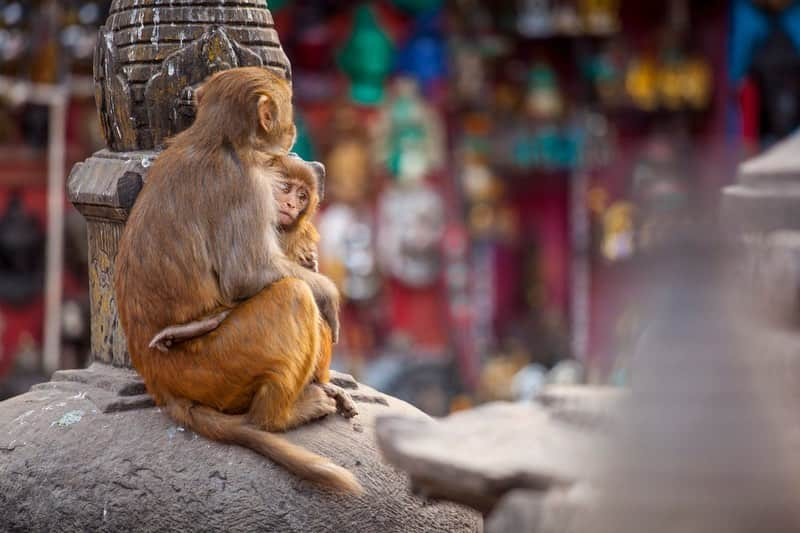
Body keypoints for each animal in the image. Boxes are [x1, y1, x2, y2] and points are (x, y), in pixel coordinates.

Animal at [113, 67, 362, 494]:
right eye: (288, 107)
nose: (293, 128)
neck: (216, 137)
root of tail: (158, 383)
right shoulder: (247, 183)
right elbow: (246, 274)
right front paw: (330, 294)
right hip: (213, 365)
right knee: (294, 295)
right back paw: (278, 416)